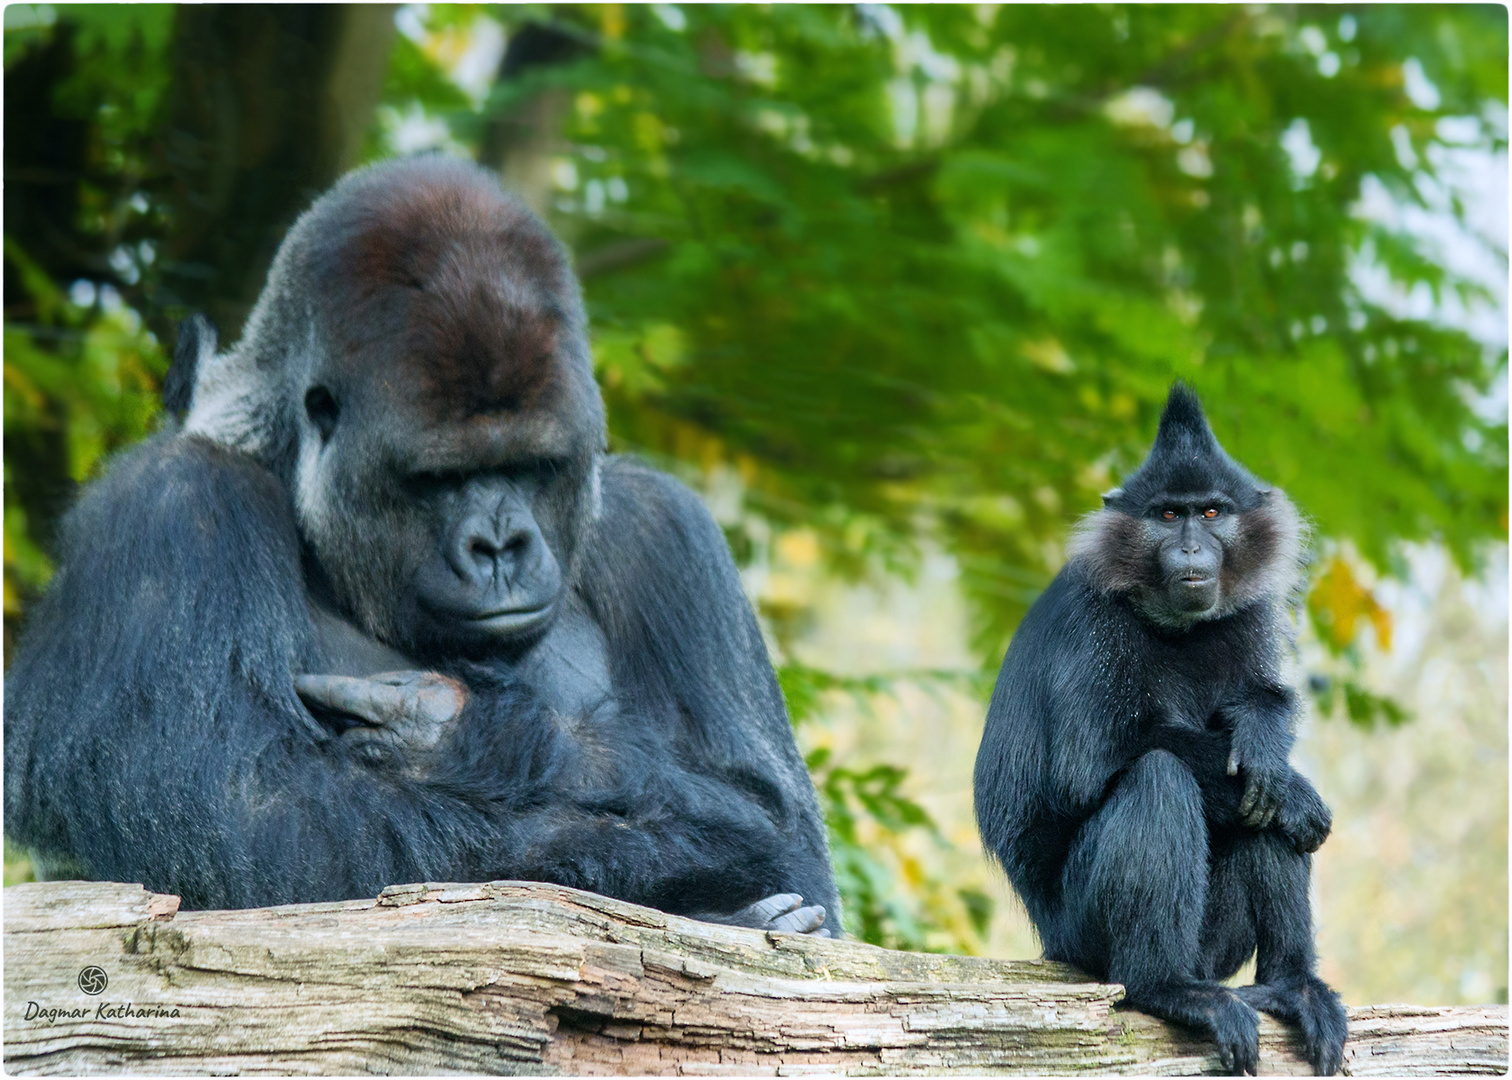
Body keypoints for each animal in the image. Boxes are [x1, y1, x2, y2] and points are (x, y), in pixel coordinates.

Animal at [2, 153, 840, 931]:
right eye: (439, 479)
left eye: (531, 467)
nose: (499, 546)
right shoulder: (170, 503)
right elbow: (250, 814)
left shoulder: (668, 529)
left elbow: (772, 812)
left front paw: (467, 735)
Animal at [979, 381, 1348, 1070]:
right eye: (1170, 516)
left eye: (1211, 513)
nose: (1191, 548)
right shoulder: (1092, 623)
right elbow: (1091, 763)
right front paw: (1296, 790)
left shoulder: (1250, 614)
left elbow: (1262, 714)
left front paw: (1265, 735)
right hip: (1083, 935)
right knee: (1158, 777)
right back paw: (1168, 988)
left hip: (1215, 944)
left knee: (1260, 808)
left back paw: (1292, 986)